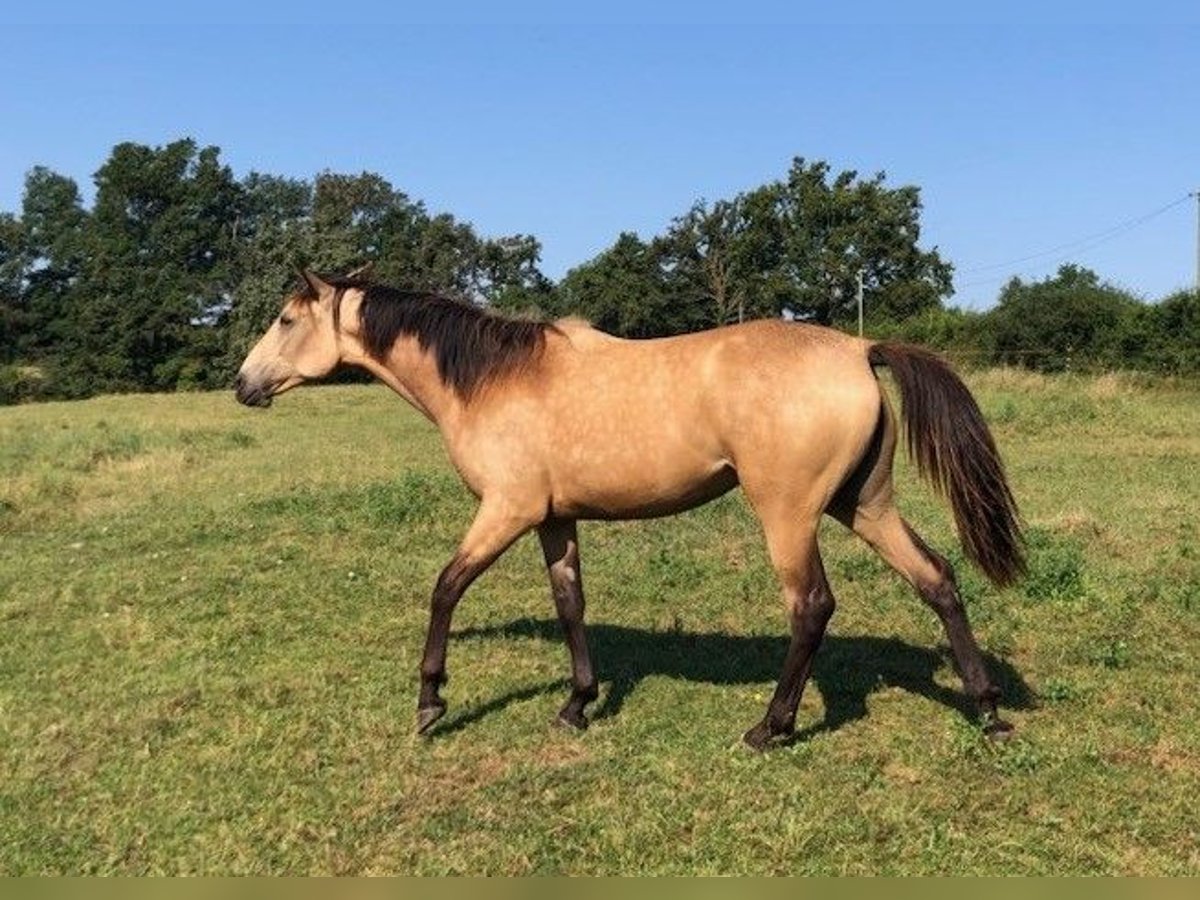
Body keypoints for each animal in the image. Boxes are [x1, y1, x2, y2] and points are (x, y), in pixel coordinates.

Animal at [238, 271, 1027, 748]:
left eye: (284, 319)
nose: (244, 384)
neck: (494, 379)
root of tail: (860, 348)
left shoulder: (505, 512)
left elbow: (446, 588)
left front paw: (431, 702)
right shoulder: (553, 519)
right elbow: (570, 603)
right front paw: (577, 705)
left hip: (790, 515)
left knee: (812, 608)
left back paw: (770, 728)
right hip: (862, 504)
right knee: (937, 579)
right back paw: (987, 709)